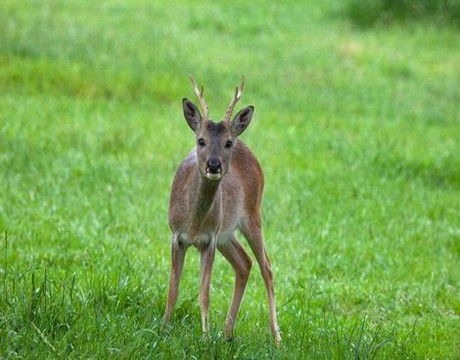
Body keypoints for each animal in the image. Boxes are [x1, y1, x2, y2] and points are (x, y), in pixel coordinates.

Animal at [164, 74, 282, 346]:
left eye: (227, 143)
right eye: (201, 140)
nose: (214, 164)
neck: (194, 223)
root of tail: (246, 146)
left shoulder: (209, 239)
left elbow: (204, 293)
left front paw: (205, 337)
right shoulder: (177, 235)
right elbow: (173, 289)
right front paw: (162, 329)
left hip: (252, 215)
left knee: (266, 267)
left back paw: (276, 338)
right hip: (227, 233)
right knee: (244, 263)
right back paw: (227, 333)